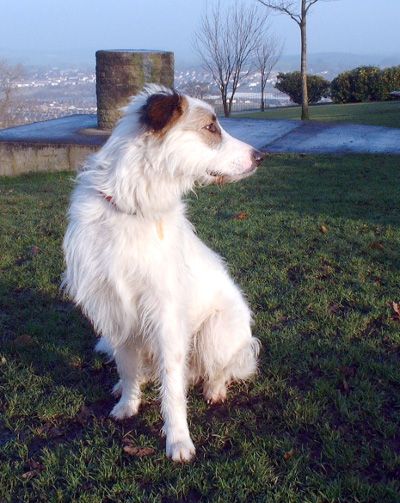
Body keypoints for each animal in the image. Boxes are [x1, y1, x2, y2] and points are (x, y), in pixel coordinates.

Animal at [62, 84, 264, 462]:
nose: (260, 156)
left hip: (216, 333)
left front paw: (178, 439)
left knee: (220, 370)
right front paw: (128, 404)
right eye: (211, 128)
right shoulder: (116, 311)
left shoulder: (166, 318)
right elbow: (127, 369)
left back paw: (214, 388)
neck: (133, 208)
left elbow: (171, 388)